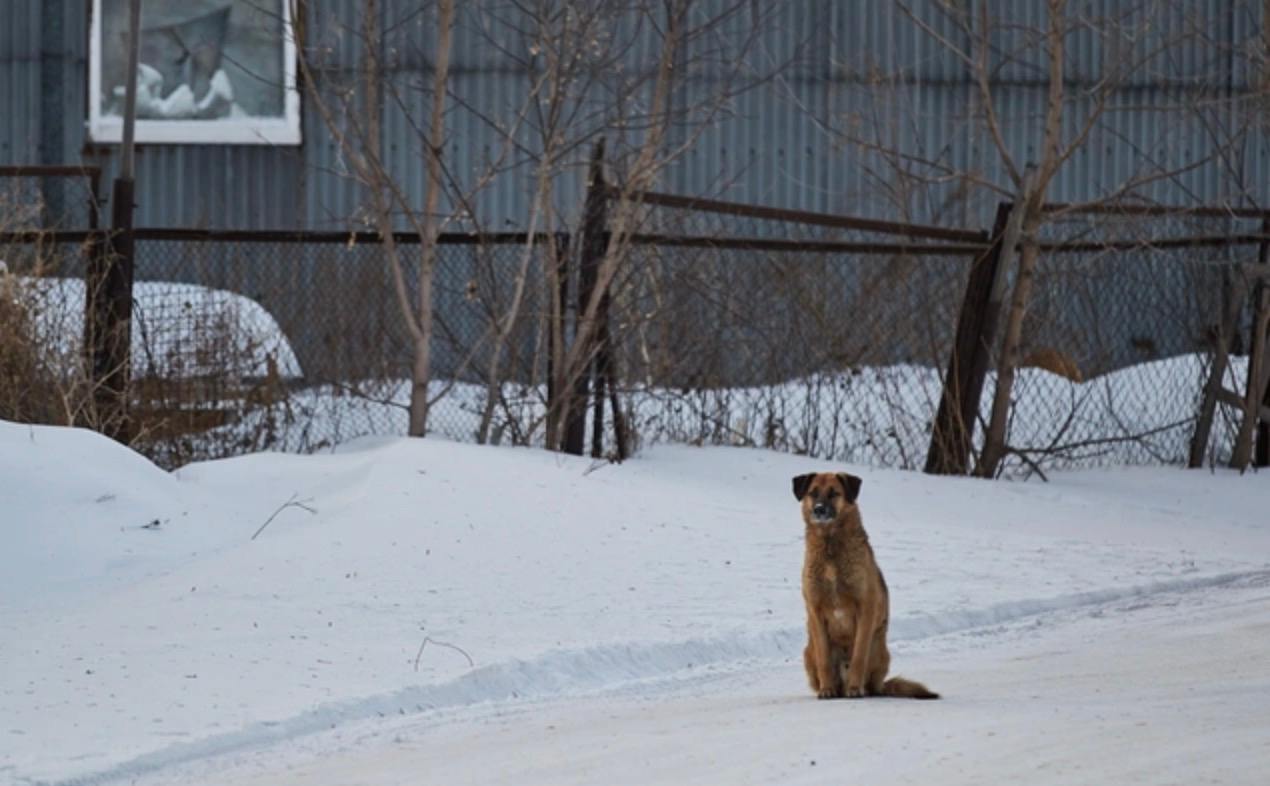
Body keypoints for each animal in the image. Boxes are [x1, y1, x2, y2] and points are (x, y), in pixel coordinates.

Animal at [797, 472, 939, 700]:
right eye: (813, 493)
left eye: (834, 493)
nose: (819, 509)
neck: (830, 547)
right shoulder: (815, 611)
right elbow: (824, 659)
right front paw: (826, 689)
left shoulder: (865, 609)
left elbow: (858, 657)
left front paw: (855, 688)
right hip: (807, 651)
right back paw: (833, 688)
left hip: (879, 648)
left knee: (871, 682)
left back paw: (859, 688)